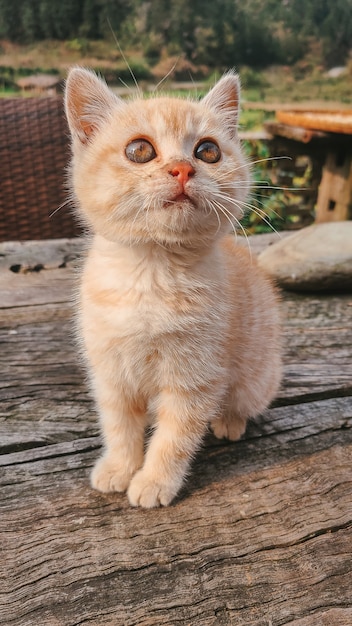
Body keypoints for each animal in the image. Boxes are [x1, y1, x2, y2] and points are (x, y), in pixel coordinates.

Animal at [64, 68, 282, 508]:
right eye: (139, 150)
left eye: (208, 151)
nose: (182, 168)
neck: (153, 273)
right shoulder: (109, 370)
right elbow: (118, 424)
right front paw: (119, 467)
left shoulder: (196, 376)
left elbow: (175, 437)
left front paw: (154, 481)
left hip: (255, 379)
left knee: (242, 402)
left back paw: (229, 421)